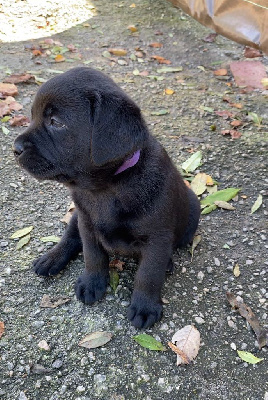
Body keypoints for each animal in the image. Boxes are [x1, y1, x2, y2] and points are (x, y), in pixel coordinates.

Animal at [13, 66, 200, 328]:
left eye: (56, 122)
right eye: (33, 116)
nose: (15, 148)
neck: (105, 189)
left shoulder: (157, 238)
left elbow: (149, 274)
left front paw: (145, 306)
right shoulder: (87, 223)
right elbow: (93, 255)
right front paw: (92, 283)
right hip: (77, 216)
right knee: (71, 235)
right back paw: (52, 257)